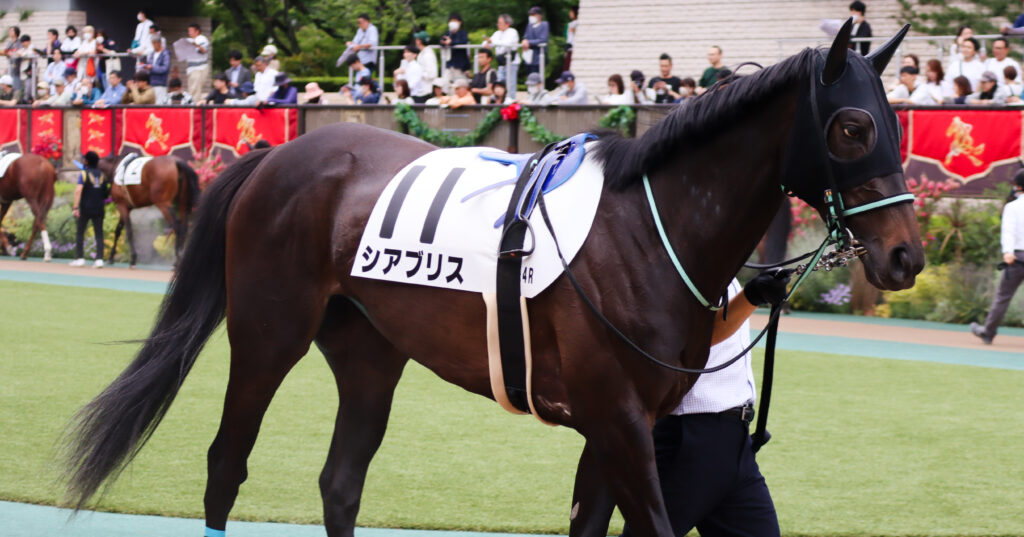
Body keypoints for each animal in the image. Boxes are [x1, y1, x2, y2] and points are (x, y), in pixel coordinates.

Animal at [62, 22, 922, 537]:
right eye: (853, 127)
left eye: (896, 121)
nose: (906, 257)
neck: (649, 228)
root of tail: (278, 156)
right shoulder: (619, 420)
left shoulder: (613, 427)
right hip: (268, 336)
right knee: (225, 465)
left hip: (369, 352)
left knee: (340, 480)